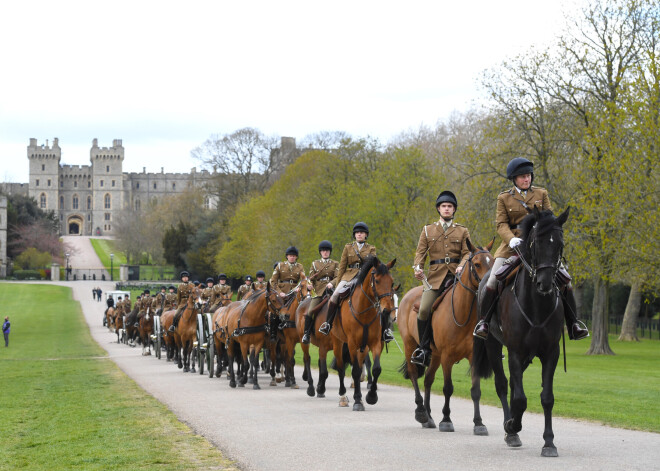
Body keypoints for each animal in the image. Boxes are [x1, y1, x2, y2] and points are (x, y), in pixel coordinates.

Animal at [326, 256, 394, 412]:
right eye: (377, 281)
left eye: (392, 282)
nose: (387, 310)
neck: (364, 312)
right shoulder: (351, 344)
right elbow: (356, 371)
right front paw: (357, 401)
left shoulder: (375, 343)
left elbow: (376, 369)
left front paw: (371, 397)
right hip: (338, 342)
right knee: (341, 368)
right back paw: (343, 397)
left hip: (362, 348)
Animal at [398, 240, 496, 436]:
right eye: (477, 264)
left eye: (493, 261)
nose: (489, 287)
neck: (462, 311)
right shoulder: (447, 358)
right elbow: (448, 388)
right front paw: (446, 420)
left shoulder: (473, 356)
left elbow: (475, 390)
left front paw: (479, 423)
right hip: (410, 345)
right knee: (414, 375)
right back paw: (421, 412)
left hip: (434, 355)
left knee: (427, 380)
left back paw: (428, 417)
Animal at [472, 208, 568, 460]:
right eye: (535, 242)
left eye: (560, 243)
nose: (545, 283)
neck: (537, 304)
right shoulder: (514, 352)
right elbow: (520, 398)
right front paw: (512, 426)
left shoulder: (550, 353)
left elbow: (546, 398)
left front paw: (549, 443)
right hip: (493, 345)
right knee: (503, 385)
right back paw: (511, 428)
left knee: (515, 387)